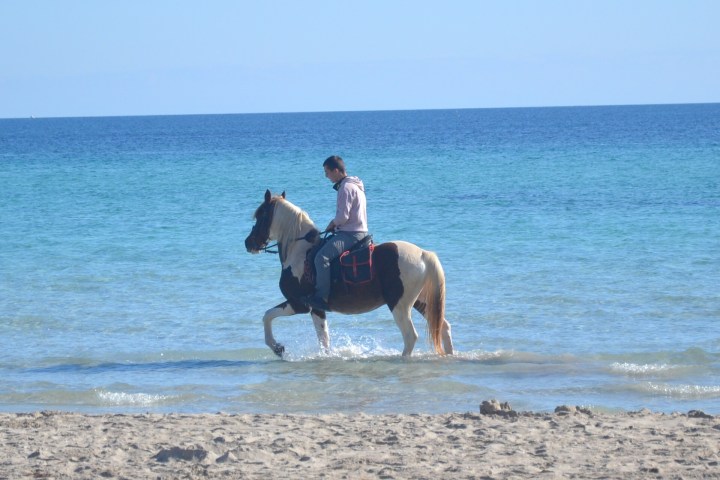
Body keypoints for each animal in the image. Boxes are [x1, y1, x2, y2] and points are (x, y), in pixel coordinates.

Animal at [244, 189, 454, 357]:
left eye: (261, 216)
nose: (248, 243)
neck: (300, 252)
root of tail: (423, 254)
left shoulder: (299, 304)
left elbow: (267, 316)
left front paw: (277, 347)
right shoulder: (317, 309)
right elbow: (324, 340)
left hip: (400, 305)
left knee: (410, 336)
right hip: (421, 302)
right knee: (443, 327)